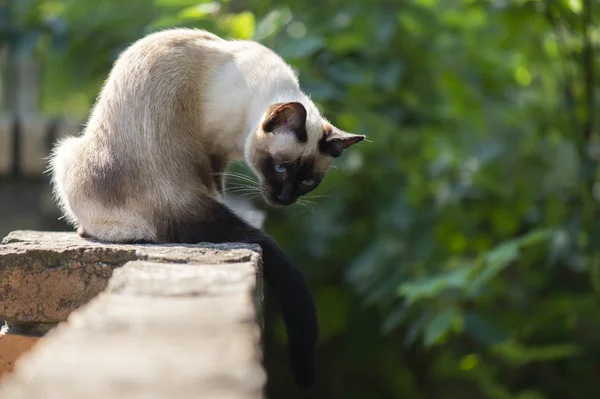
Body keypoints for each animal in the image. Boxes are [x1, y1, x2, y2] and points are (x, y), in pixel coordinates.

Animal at [49, 28, 366, 390]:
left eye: (308, 181)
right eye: (280, 169)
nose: (284, 199)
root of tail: (172, 198)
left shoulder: (217, 155)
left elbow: (220, 192)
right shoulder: (216, 152)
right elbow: (221, 190)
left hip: (67, 154)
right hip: (64, 152)